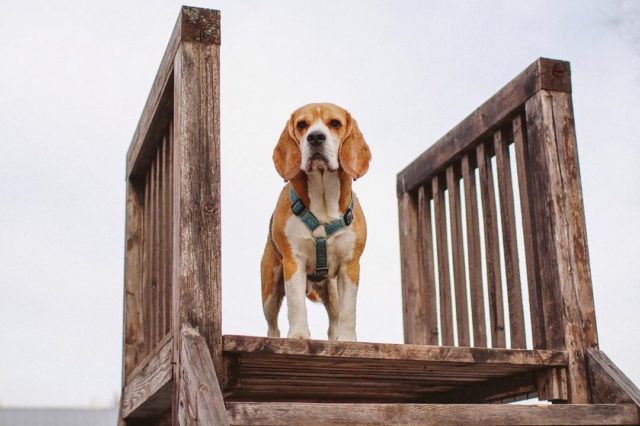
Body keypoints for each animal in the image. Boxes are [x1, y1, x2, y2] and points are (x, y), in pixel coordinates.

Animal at [261, 103, 371, 341]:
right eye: (302, 125)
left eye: (335, 123)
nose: (316, 137)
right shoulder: (294, 262)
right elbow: (296, 305)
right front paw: (299, 335)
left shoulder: (350, 266)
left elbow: (349, 311)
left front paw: (347, 340)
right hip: (270, 290)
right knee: (272, 326)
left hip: (332, 290)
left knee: (334, 321)